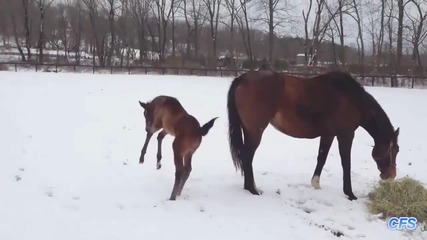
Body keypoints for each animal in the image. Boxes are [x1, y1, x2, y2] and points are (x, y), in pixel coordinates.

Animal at [227, 70, 402, 201]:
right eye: (393, 150)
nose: (391, 176)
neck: (354, 99)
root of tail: (243, 78)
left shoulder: (328, 135)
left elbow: (321, 158)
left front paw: (315, 184)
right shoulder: (346, 135)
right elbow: (346, 164)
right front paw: (350, 194)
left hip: (248, 131)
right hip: (255, 132)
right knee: (247, 156)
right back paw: (252, 190)